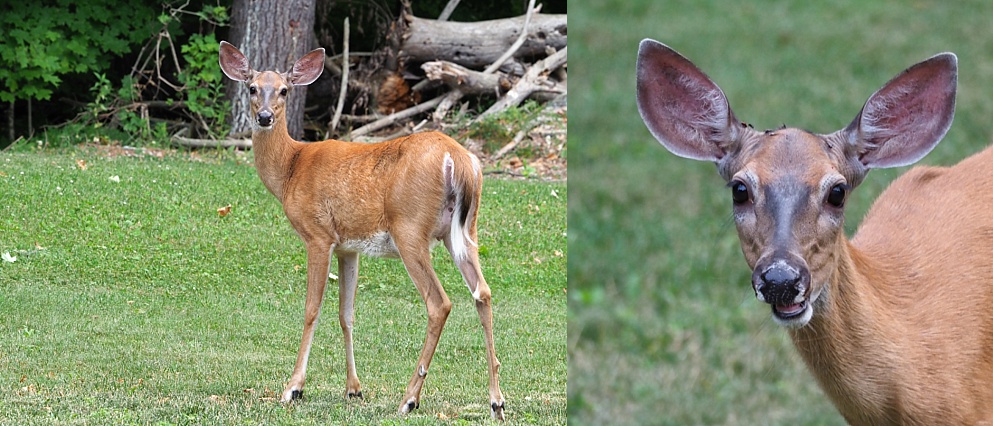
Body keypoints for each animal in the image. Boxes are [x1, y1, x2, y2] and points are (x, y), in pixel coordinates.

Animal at [217, 41, 504, 422]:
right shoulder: (348, 246)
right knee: (482, 292)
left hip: (410, 229)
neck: (291, 168)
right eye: (251, 87)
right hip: (464, 231)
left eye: (283, 90)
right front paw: (353, 389)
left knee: (439, 302)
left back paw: (409, 398)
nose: (264, 116)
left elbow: (312, 309)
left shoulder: (317, 235)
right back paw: (497, 401)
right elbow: (347, 314)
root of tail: (459, 160)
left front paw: (293, 388)